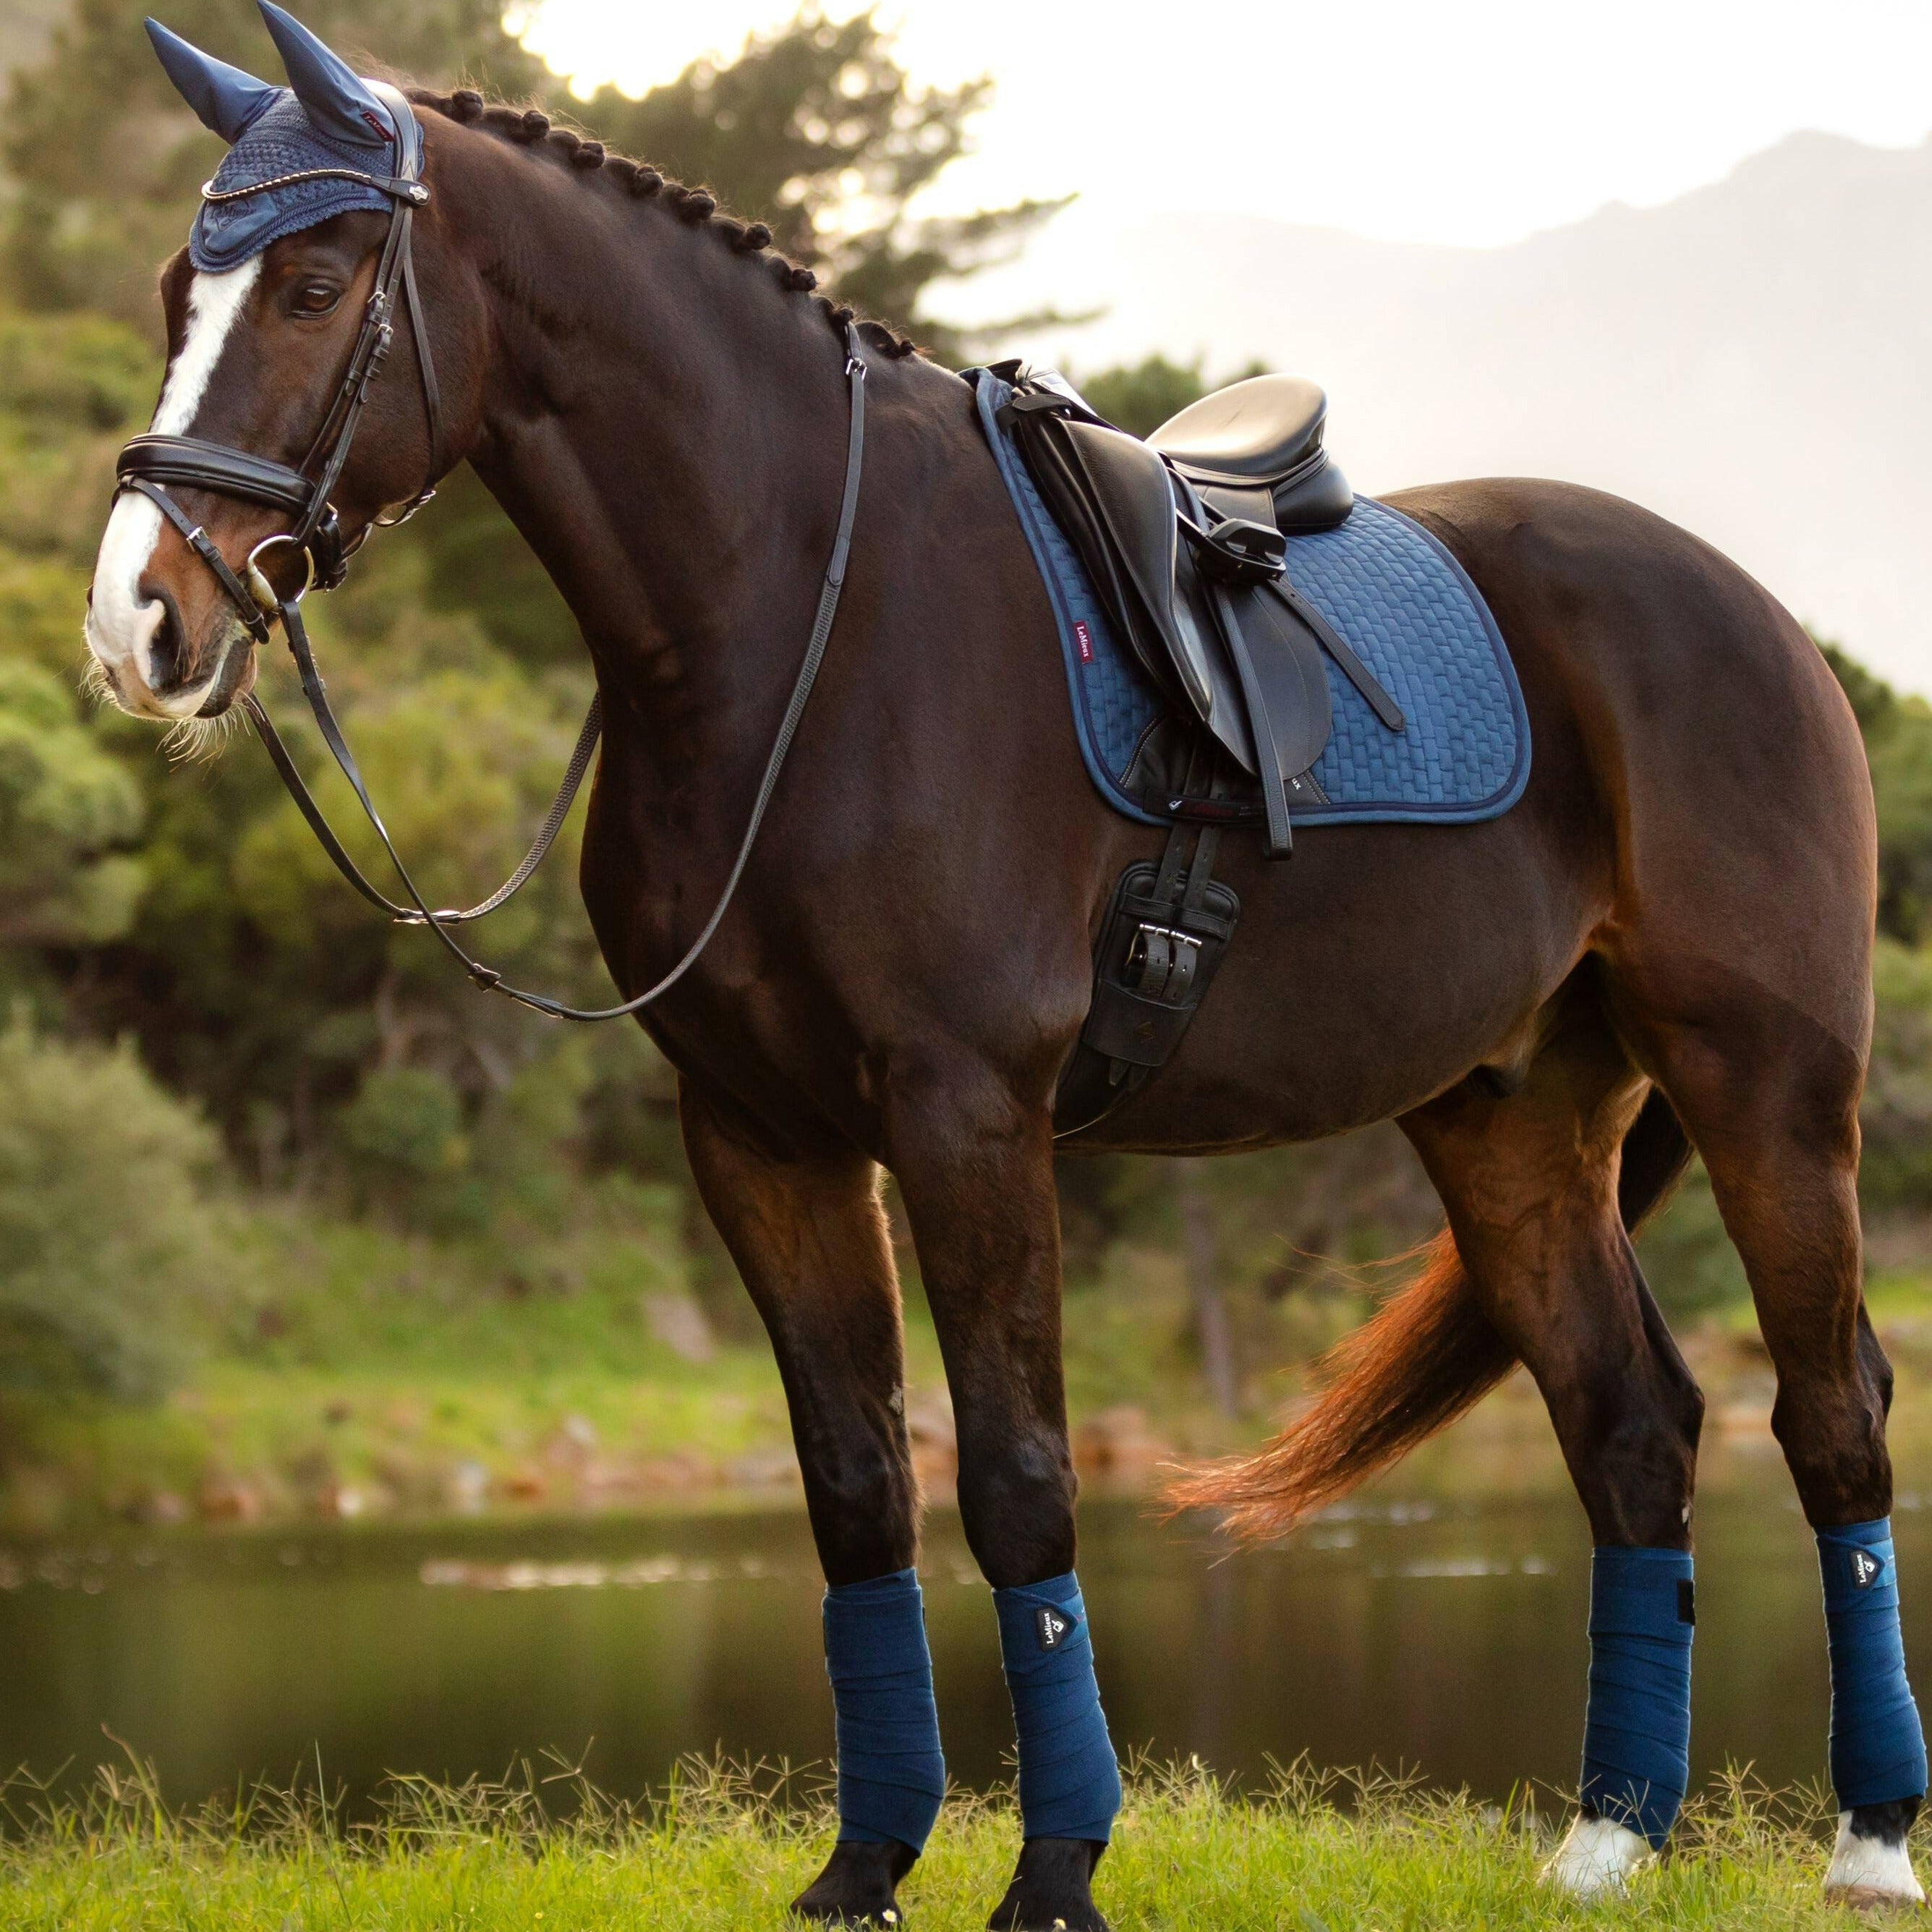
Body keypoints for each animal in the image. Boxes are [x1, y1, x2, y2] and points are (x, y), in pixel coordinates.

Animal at [87, 11, 1916, 1916]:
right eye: (177, 289)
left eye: (312, 286)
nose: (140, 624)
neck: (799, 627)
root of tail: (1758, 619)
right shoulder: (762, 1137)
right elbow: (852, 1489)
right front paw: (863, 1863)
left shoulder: (966, 1120)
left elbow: (1019, 1483)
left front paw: (1051, 1867)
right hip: (1508, 1123)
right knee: (1629, 1424)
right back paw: (1605, 1839)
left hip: (1767, 1091)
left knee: (1831, 1413)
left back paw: (1866, 1842)